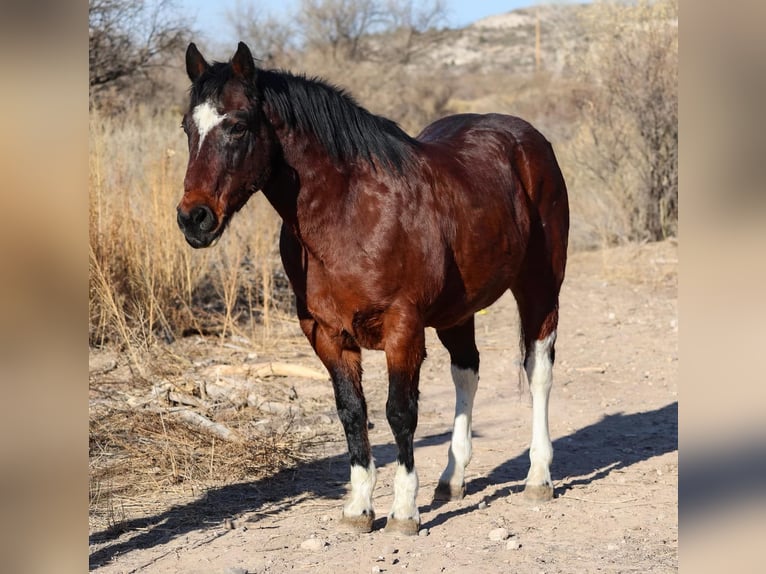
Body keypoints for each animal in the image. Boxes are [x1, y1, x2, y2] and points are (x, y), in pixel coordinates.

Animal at [177, 42, 569, 535]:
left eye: (237, 125)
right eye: (188, 127)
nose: (194, 219)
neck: (349, 212)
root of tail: (530, 141)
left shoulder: (403, 328)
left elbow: (400, 412)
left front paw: (404, 511)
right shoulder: (326, 335)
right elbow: (352, 412)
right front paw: (359, 508)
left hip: (540, 288)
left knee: (538, 371)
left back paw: (539, 478)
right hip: (457, 312)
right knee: (467, 372)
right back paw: (452, 478)